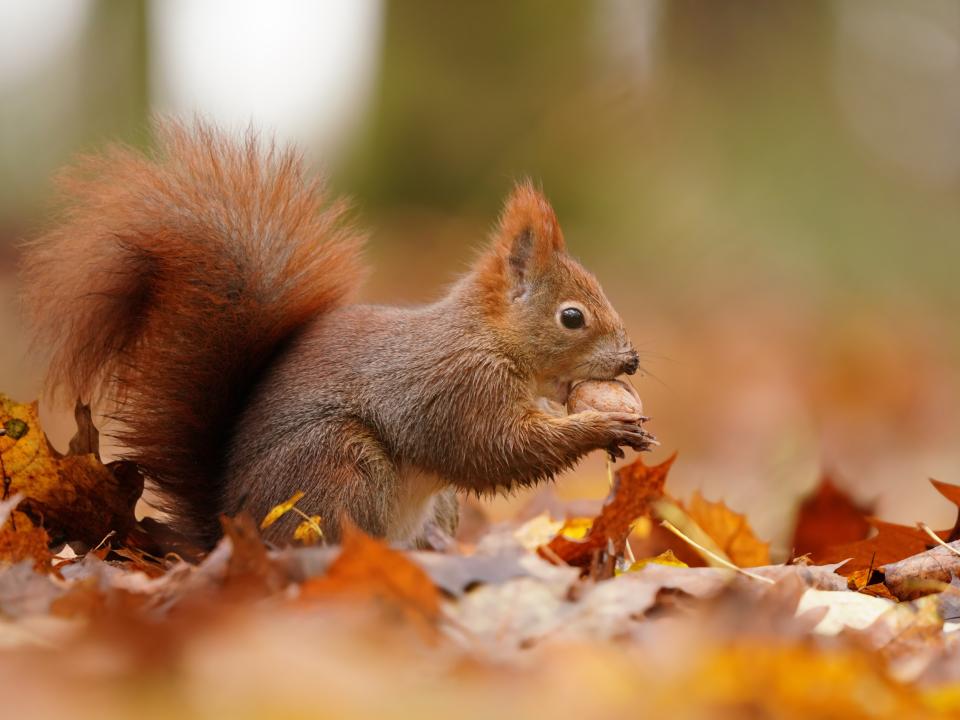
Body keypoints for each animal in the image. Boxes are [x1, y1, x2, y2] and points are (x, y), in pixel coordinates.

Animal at [22, 124, 652, 548]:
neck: (489, 337)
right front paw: (602, 428)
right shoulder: (453, 387)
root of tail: (229, 527)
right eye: (572, 317)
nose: (631, 361)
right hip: (337, 466)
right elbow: (494, 448)